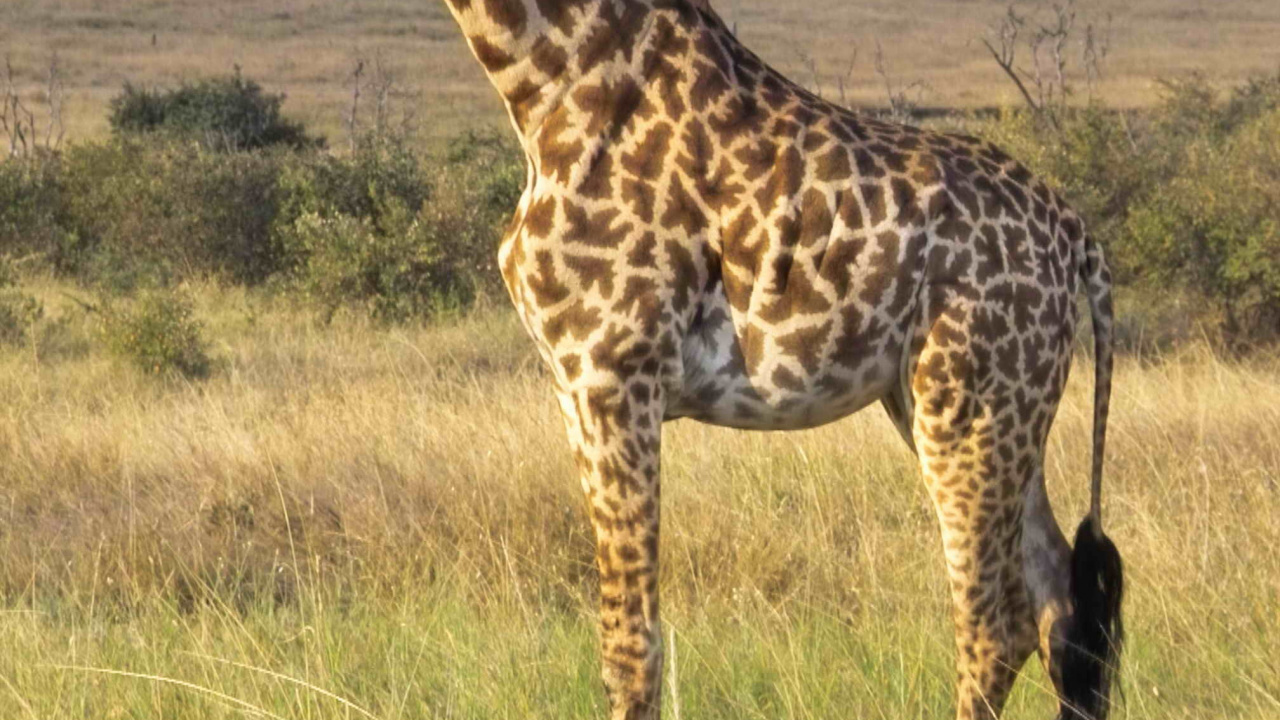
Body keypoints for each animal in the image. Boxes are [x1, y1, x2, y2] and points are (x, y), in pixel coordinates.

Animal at [439, 1, 1125, 718]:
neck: (549, 82)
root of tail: (1077, 238)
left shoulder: (614, 370)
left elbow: (630, 649)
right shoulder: (574, 385)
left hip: (967, 404)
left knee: (996, 624)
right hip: (984, 406)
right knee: (1061, 607)